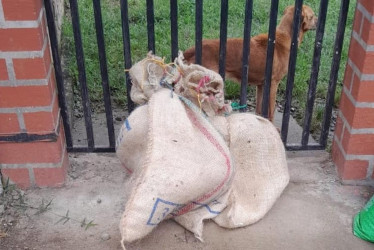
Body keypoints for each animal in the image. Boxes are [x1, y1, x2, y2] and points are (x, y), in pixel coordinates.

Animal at [183, 3, 318, 121]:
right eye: (312, 16)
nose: (318, 22)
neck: (284, 37)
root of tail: (192, 49)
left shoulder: (261, 85)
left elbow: (259, 110)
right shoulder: (273, 84)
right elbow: (271, 112)